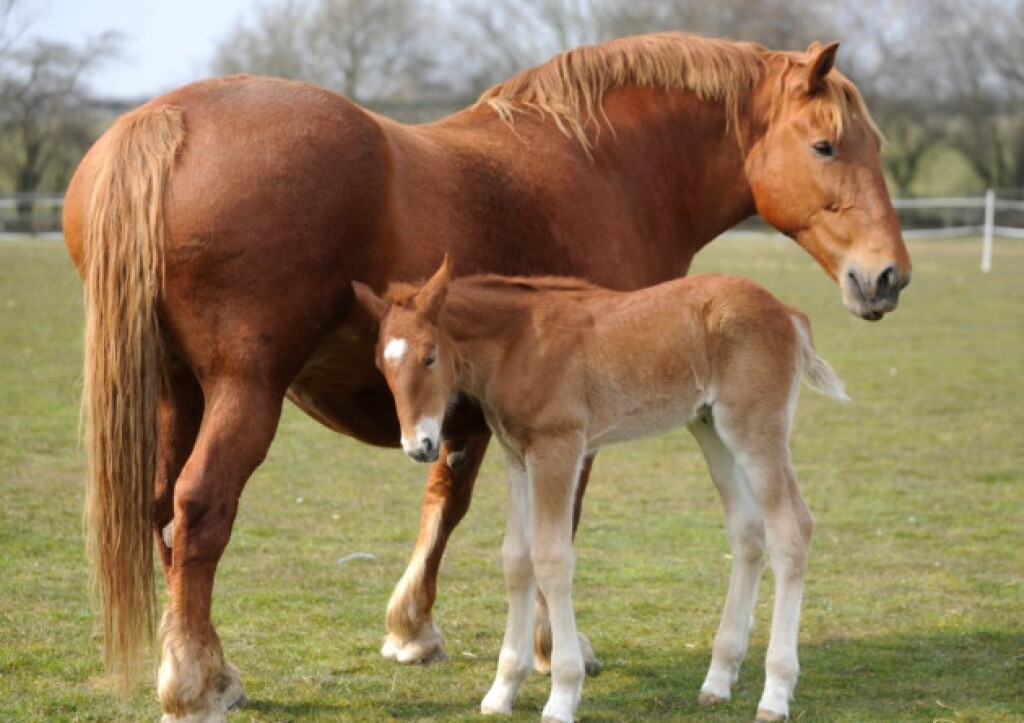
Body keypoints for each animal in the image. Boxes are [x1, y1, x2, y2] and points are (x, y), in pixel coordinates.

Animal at [353, 256, 850, 721]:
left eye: (429, 357)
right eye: (381, 365)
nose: (419, 446)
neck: (518, 344)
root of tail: (786, 312)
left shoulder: (558, 448)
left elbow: (551, 559)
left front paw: (561, 695)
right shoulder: (517, 457)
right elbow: (516, 560)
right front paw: (501, 692)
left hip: (754, 426)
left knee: (792, 528)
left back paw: (775, 695)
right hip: (710, 427)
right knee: (748, 533)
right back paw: (718, 680)